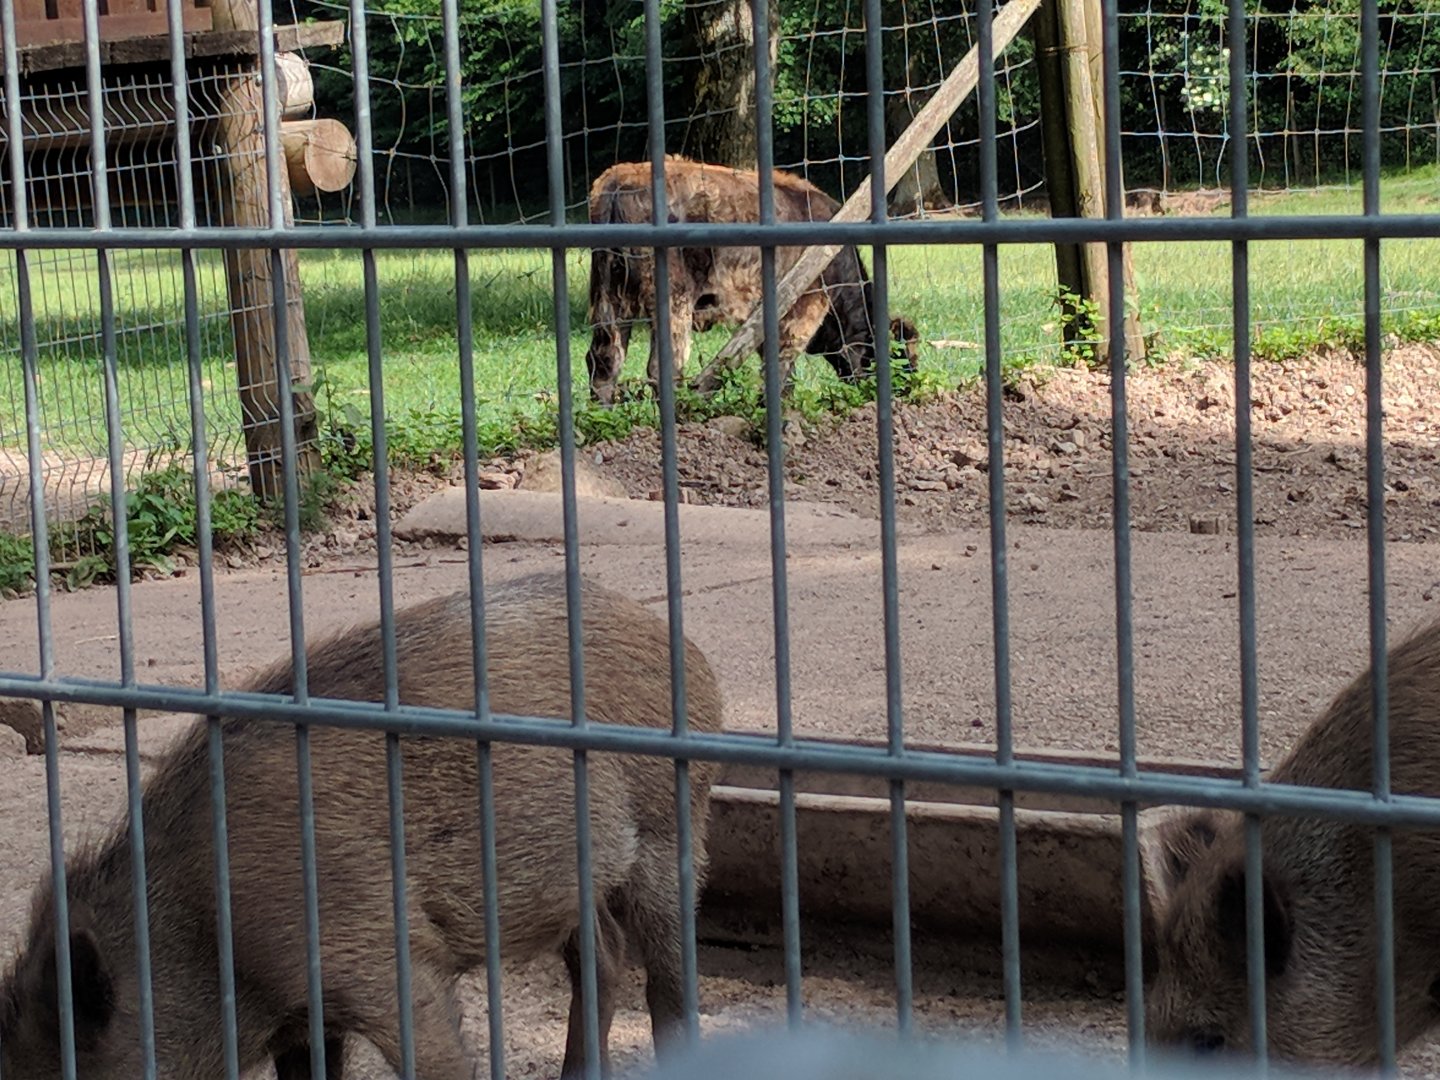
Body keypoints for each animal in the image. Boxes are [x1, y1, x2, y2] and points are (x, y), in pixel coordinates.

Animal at [0, 572, 725, 1080]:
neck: (206, 926)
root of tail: (680, 641)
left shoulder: (383, 957)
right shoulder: (304, 1020)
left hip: (674, 830)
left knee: (668, 975)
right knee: (602, 953)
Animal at [583, 157, 920, 406]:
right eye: (901, 357)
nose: (907, 391)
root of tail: (619, 183)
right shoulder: (802, 311)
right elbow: (783, 367)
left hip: (610, 300)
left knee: (605, 360)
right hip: (672, 303)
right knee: (662, 367)